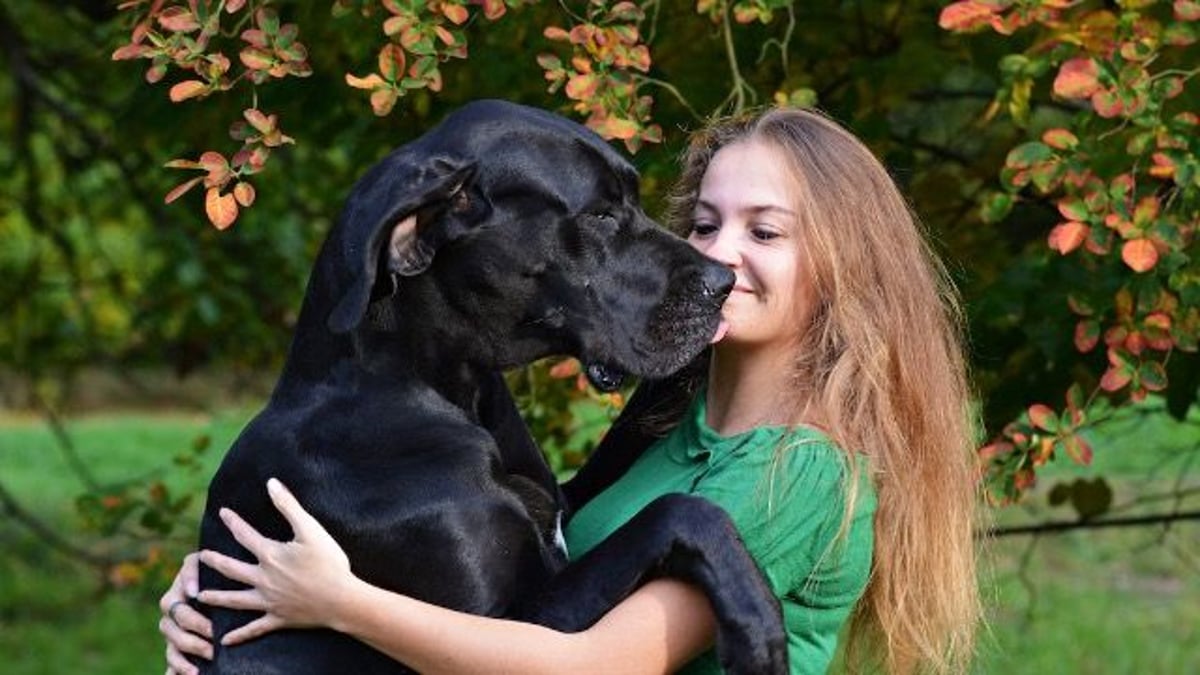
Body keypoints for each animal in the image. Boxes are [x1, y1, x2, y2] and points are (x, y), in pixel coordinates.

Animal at [196, 99, 787, 672]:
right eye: (600, 215)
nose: (724, 283)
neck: (435, 391)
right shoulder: (504, 627)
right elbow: (676, 509)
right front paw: (756, 621)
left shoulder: (562, 502)